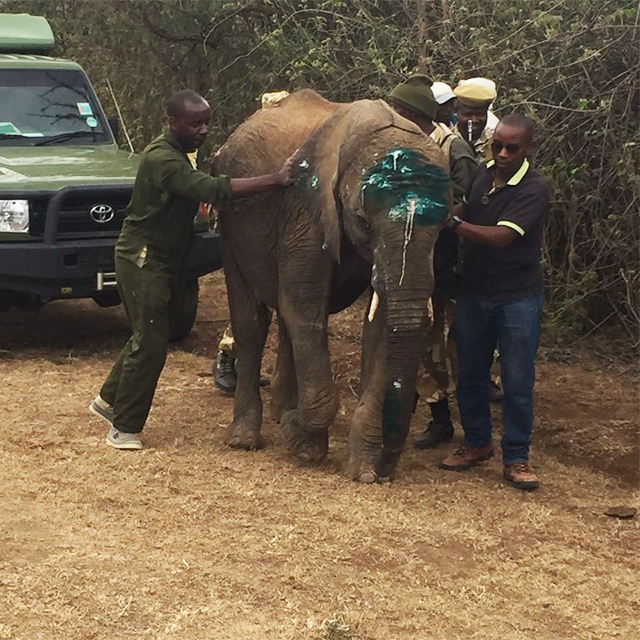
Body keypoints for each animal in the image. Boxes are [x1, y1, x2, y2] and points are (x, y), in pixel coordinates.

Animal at [214, 89, 450, 482]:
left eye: (445, 226)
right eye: (362, 220)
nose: (386, 471)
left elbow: (379, 326)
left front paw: (363, 471)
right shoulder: (306, 209)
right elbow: (304, 309)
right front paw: (300, 443)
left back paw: (282, 411)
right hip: (230, 227)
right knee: (252, 322)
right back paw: (245, 438)